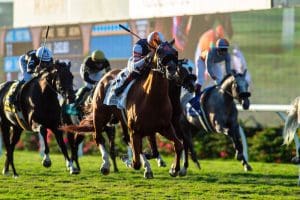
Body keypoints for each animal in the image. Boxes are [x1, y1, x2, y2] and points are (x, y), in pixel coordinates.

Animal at [61, 41, 183, 178]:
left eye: (175, 52)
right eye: (159, 51)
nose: (172, 69)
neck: (152, 98)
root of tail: (105, 77)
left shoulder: (164, 127)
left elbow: (178, 145)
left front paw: (174, 169)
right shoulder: (135, 130)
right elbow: (136, 162)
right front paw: (127, 160)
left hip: (121, 119)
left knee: (125, 139)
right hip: (100, 116)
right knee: (98, 138)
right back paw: (105, 165)